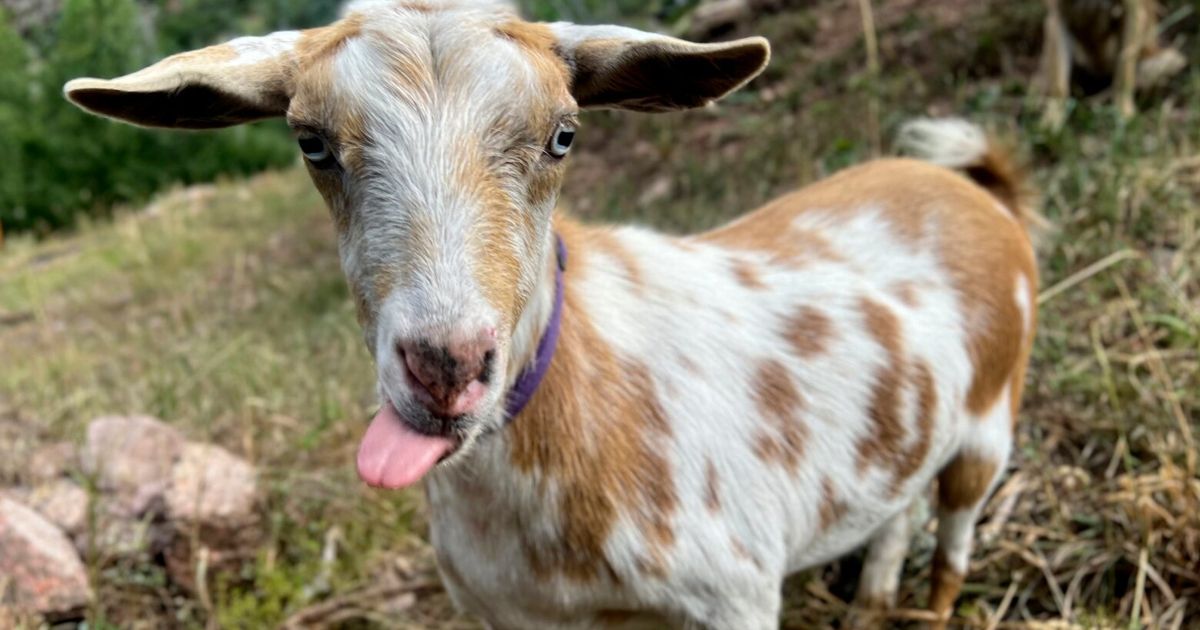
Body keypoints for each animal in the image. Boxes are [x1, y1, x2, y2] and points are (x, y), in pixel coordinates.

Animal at [65, 2, 1038, 627]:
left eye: (564, 135)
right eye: (311, 143)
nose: (447, 367)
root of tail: (972, 185)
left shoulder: (735, 590)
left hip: (992, 418)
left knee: (954, 531)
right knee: (896, 511)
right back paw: (872, 605)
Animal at [1040, 0, 1186, 128]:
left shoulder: (1131, 13)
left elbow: (1124, 73)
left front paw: (1124, 113)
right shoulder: (1057, 15)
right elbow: (1058, 85)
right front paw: (1051, 123)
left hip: (1168, 59)